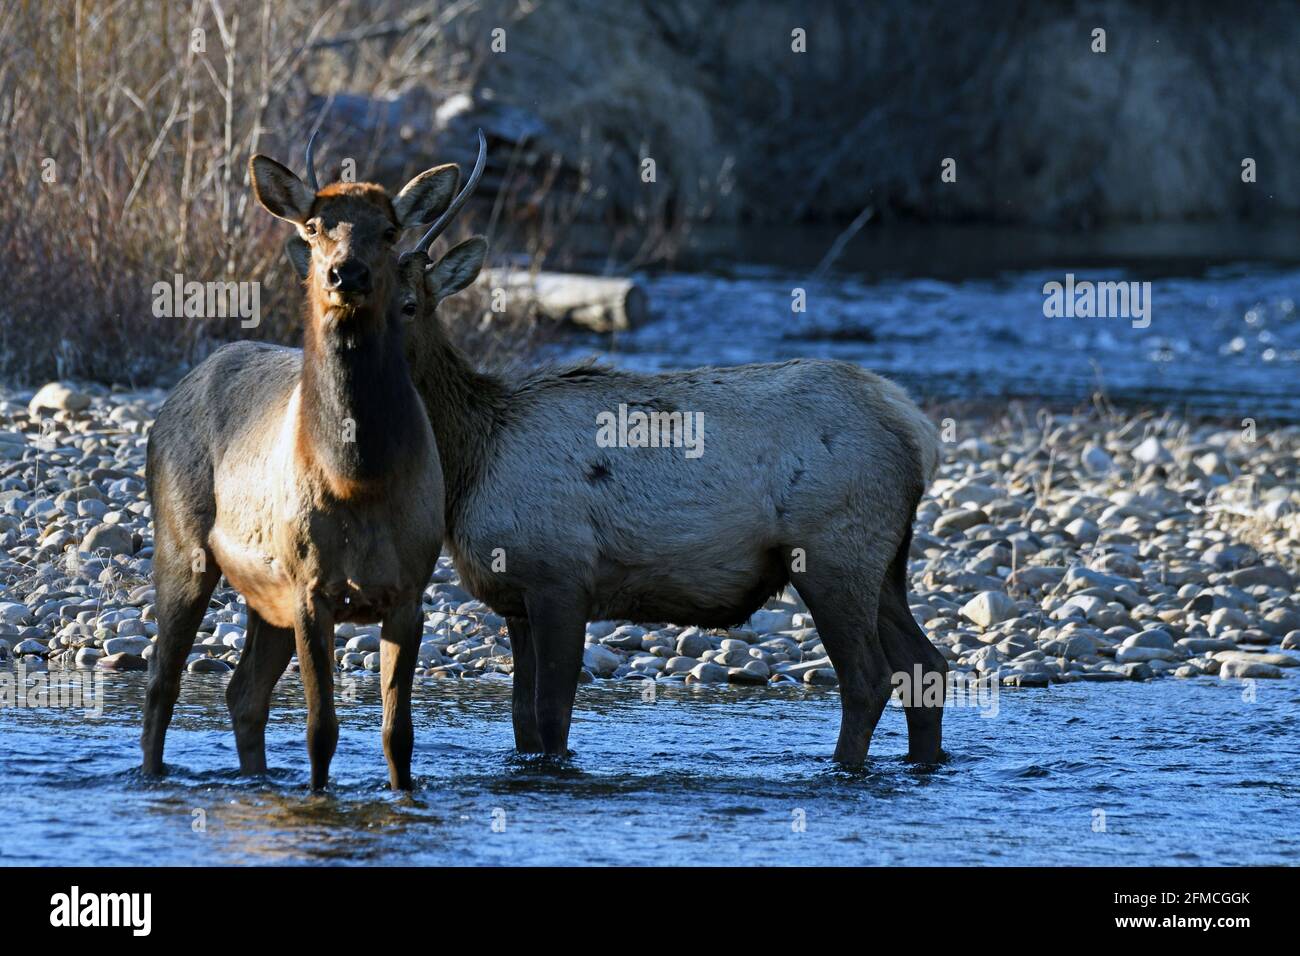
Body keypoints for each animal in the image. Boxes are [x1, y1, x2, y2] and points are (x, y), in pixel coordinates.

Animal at [141, 136, 454, 790]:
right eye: (314, 226)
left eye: (390, 230)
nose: (346, 273)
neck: (359, 478)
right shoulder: (311, 587)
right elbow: (320, 731)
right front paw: (316, 795)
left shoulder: (410, 590)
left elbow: (398, 735)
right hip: (181, 544)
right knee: (162, 681)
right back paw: (152, 777)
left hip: (268, 593)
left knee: (243, 694)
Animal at [392, 134, 946, 764]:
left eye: (408, 304)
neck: (469, 458)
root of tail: (916, 429)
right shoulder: (516, 598)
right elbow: (522, 722)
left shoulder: (561, 578)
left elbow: (552, 717)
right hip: (885, 560)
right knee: (926, 665)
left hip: (834, 551)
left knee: (869, 679)